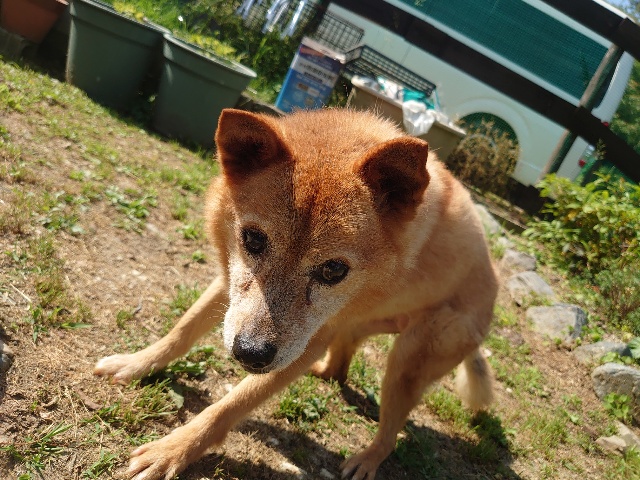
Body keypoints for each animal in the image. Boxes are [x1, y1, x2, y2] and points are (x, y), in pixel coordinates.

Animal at [95, 108, 498, 480]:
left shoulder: (303, 345)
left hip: (406, 365)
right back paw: (325, 373)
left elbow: (229, 405)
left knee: (389, 435)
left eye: (334, 270)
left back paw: (366, 461)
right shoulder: (231, 287)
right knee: (341, 365)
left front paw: (172, 451)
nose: (250, 353)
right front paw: (137, 363)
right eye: (253, 239)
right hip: (355, 330)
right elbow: (182, 330)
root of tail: (492, 295)